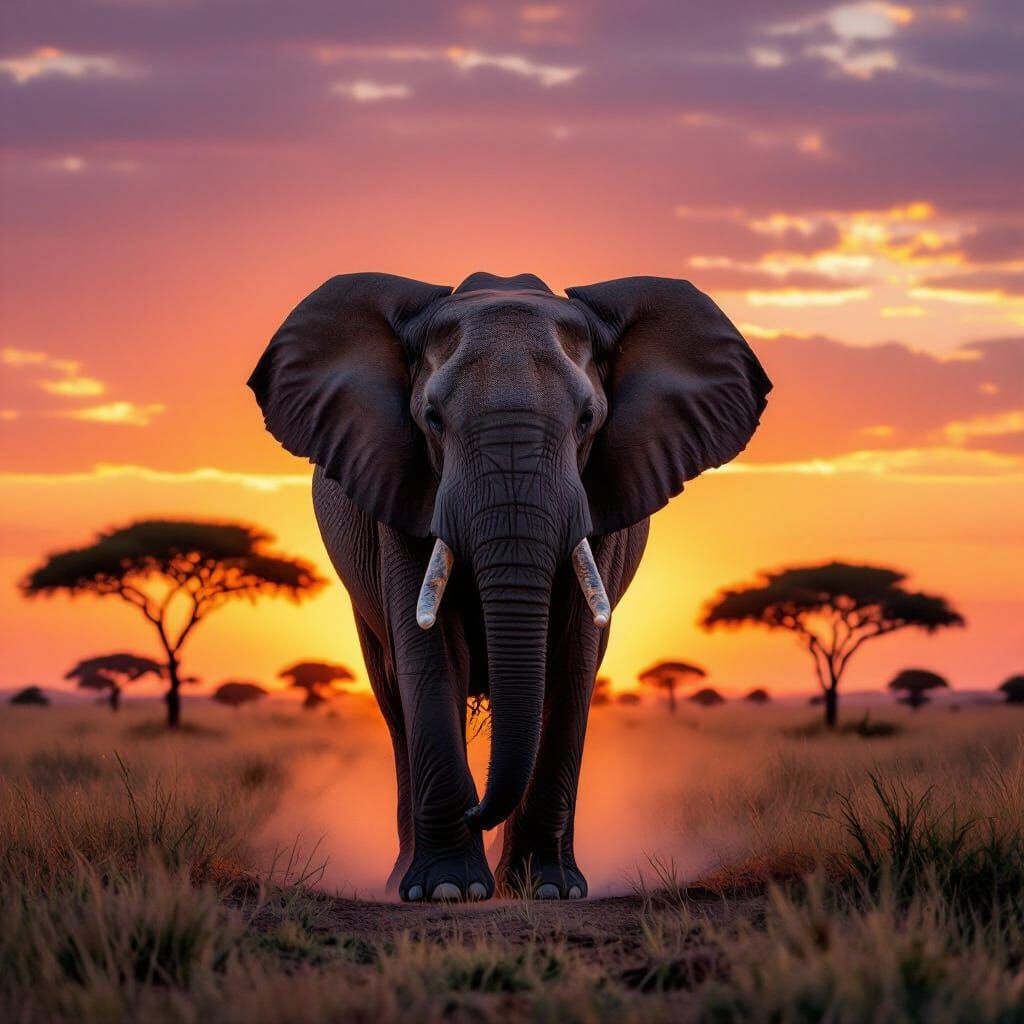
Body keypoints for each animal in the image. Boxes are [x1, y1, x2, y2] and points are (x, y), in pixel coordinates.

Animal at [248, 271, 771, 902]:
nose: (476, 811)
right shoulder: (400, 489)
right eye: (432, 419)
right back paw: (405, 876)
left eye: (587, 420)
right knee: (393, 696)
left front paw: (548, 889)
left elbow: (570, 658)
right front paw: (447, 891)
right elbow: (430, 653)